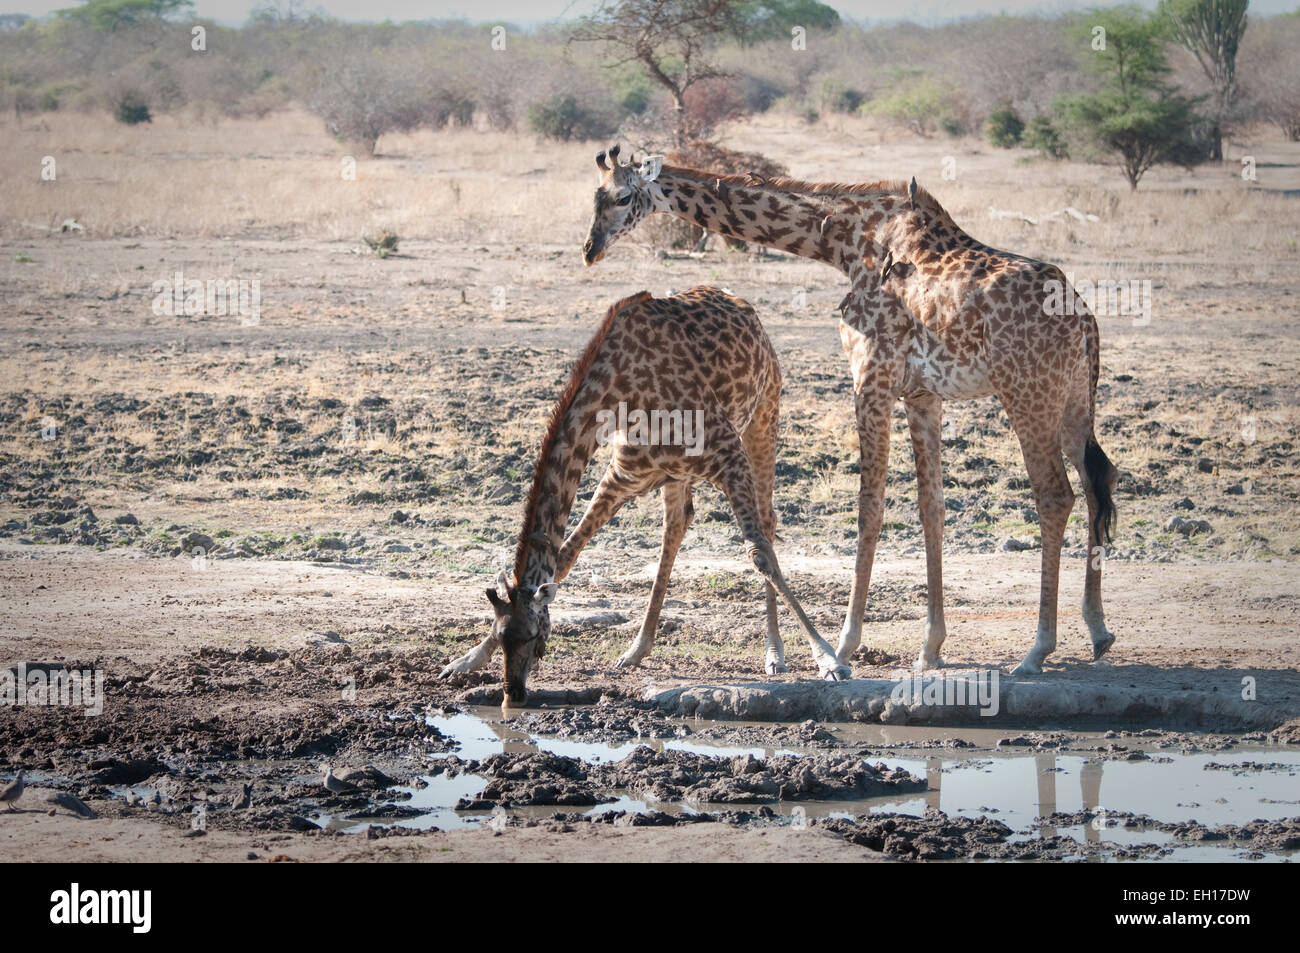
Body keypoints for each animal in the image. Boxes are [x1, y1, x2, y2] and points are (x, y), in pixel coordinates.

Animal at [436, 286, 852, 702]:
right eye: (502, 636)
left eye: (533, 636)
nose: (514, 693)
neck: (619, 392)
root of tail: (740, 303)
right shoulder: (622, 477)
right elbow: (566, 555)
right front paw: (464, 661)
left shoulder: (727, 453)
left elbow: (759, 554)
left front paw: (829, 659)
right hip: (677, 473)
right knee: (677, 525)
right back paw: (637, 649)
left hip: (763, 417)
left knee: (766, 522)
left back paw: (775, 654)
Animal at [585, 143, 1123, 676]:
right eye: (596, 196)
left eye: (623, 197)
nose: (591, 249)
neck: (846, 242)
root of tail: (1082, 317)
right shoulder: (921, 395)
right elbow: (931, 506)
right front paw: (930, 647)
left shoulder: (871, 379)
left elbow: (869, 507)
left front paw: (842, 647)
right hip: (1075, 400)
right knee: (1099, 478)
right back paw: (1097, 629)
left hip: (1027, 394)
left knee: (1054, 495)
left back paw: (1038, 649)